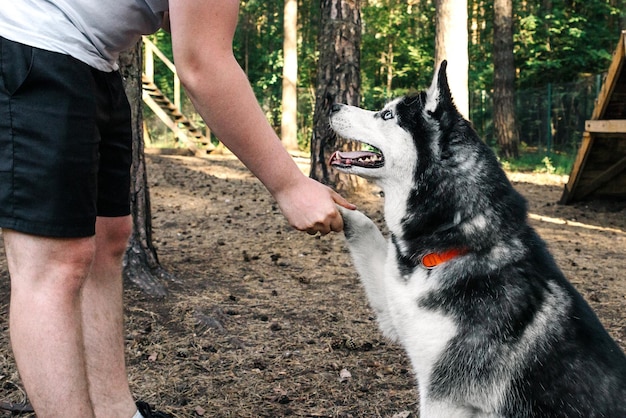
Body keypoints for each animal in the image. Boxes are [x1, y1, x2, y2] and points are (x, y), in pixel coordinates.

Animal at [330, 60, 620, 416]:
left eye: (386, 115)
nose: (332, 104)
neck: (458, 238)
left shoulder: (444, 396)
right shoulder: (394, 307)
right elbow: (365, 224)